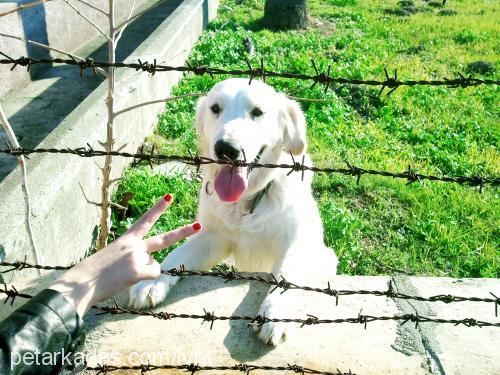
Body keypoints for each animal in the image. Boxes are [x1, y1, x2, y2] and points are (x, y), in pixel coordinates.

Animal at [130, 78, 340, 346]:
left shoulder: (303, 245)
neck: (249, 200)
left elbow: (286, 274)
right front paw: (153, 280)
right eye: (215, 108)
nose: (226, 149)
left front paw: (275, 312)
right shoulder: (214, 237)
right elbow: (177, 254)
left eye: (258, 112)